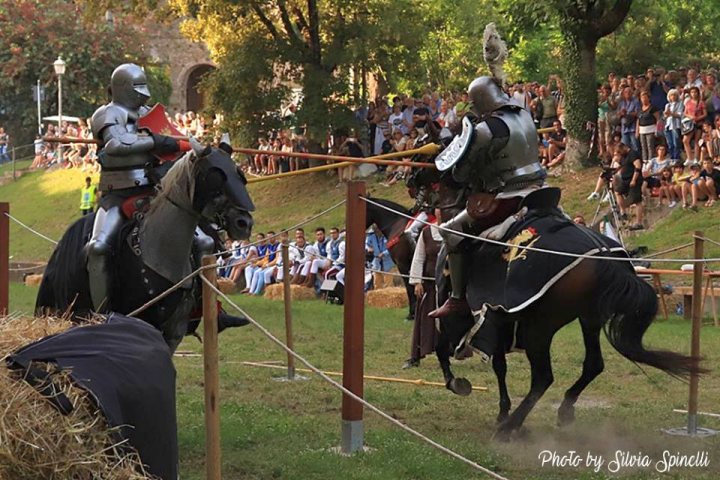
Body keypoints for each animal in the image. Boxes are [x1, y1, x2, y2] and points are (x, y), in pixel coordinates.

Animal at [38, 141, 256, 350]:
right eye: (215, 177)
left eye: (239, 175)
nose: (244, 223)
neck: (159, 252)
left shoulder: (174, 330)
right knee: (98, 249)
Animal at [408, 167, 704, 440]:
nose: (414, 198)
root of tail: (604, 257)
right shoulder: (500, 323)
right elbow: (499, 366)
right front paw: (501, 409)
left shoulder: (470, 317)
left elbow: (445, 348)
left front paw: (459, 385)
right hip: (588, 318)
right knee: (593, 364)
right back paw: (563, 411)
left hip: (540, 327)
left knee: (543, 378)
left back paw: (510, 427)